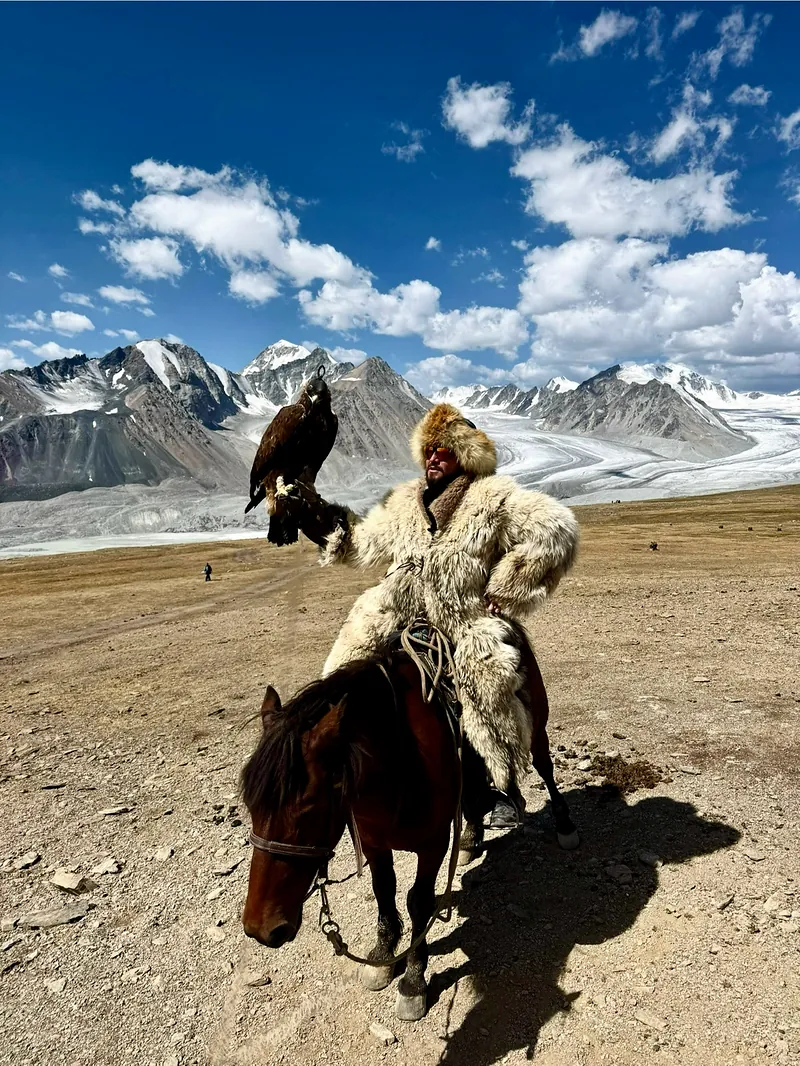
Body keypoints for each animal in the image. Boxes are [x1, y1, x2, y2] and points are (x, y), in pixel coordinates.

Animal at [240, 641, 578, 1022]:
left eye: (309, 807)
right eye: (250, 805)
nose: (262, 928)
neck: (400, 758)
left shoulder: (432, 844)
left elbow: (418, 901)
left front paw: (414, 980)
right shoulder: (373, 841)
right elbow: (383, 891)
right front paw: (383, 956)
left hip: (536, 727)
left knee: (545, 766)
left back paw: (564, 826)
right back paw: (470, 838)